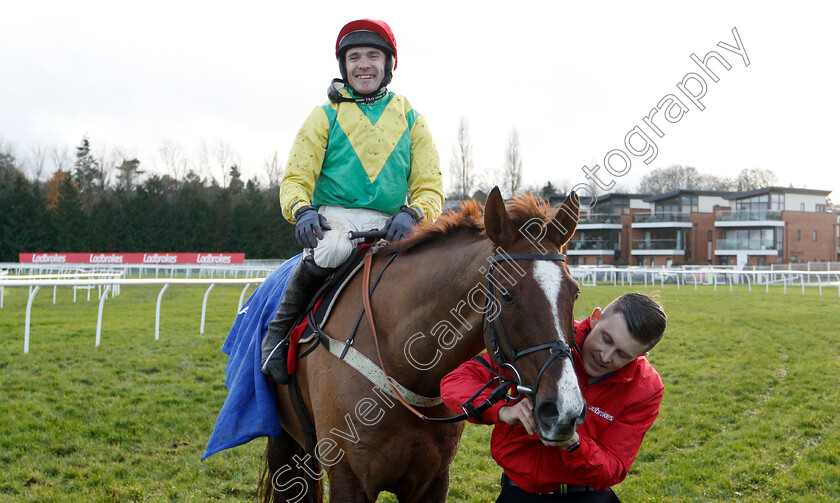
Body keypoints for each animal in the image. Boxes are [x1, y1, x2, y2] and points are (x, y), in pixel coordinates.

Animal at [260, 187, 580, 502]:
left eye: (575, 292)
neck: (404, 366)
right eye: (507, 294)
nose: (564, 410)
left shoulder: (433, 481)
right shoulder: (349, 478)